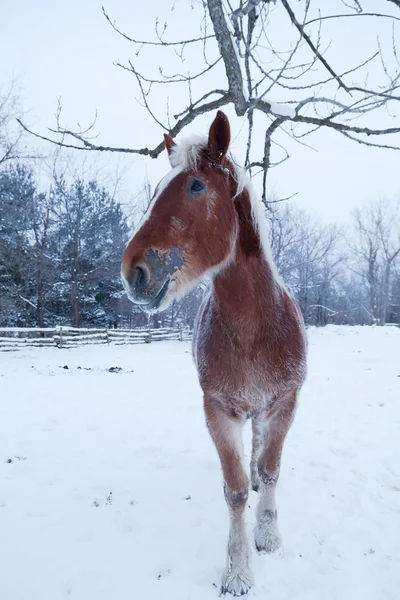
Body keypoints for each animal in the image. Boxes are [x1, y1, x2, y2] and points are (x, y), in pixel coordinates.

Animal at [121, 111, 306, 596]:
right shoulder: (218, 411)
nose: (133, 273)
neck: (255, 330)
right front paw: (238, 572)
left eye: (195, 186)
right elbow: (235, 489)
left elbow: (271, 468)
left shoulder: (284, 403)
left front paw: (268, 536)